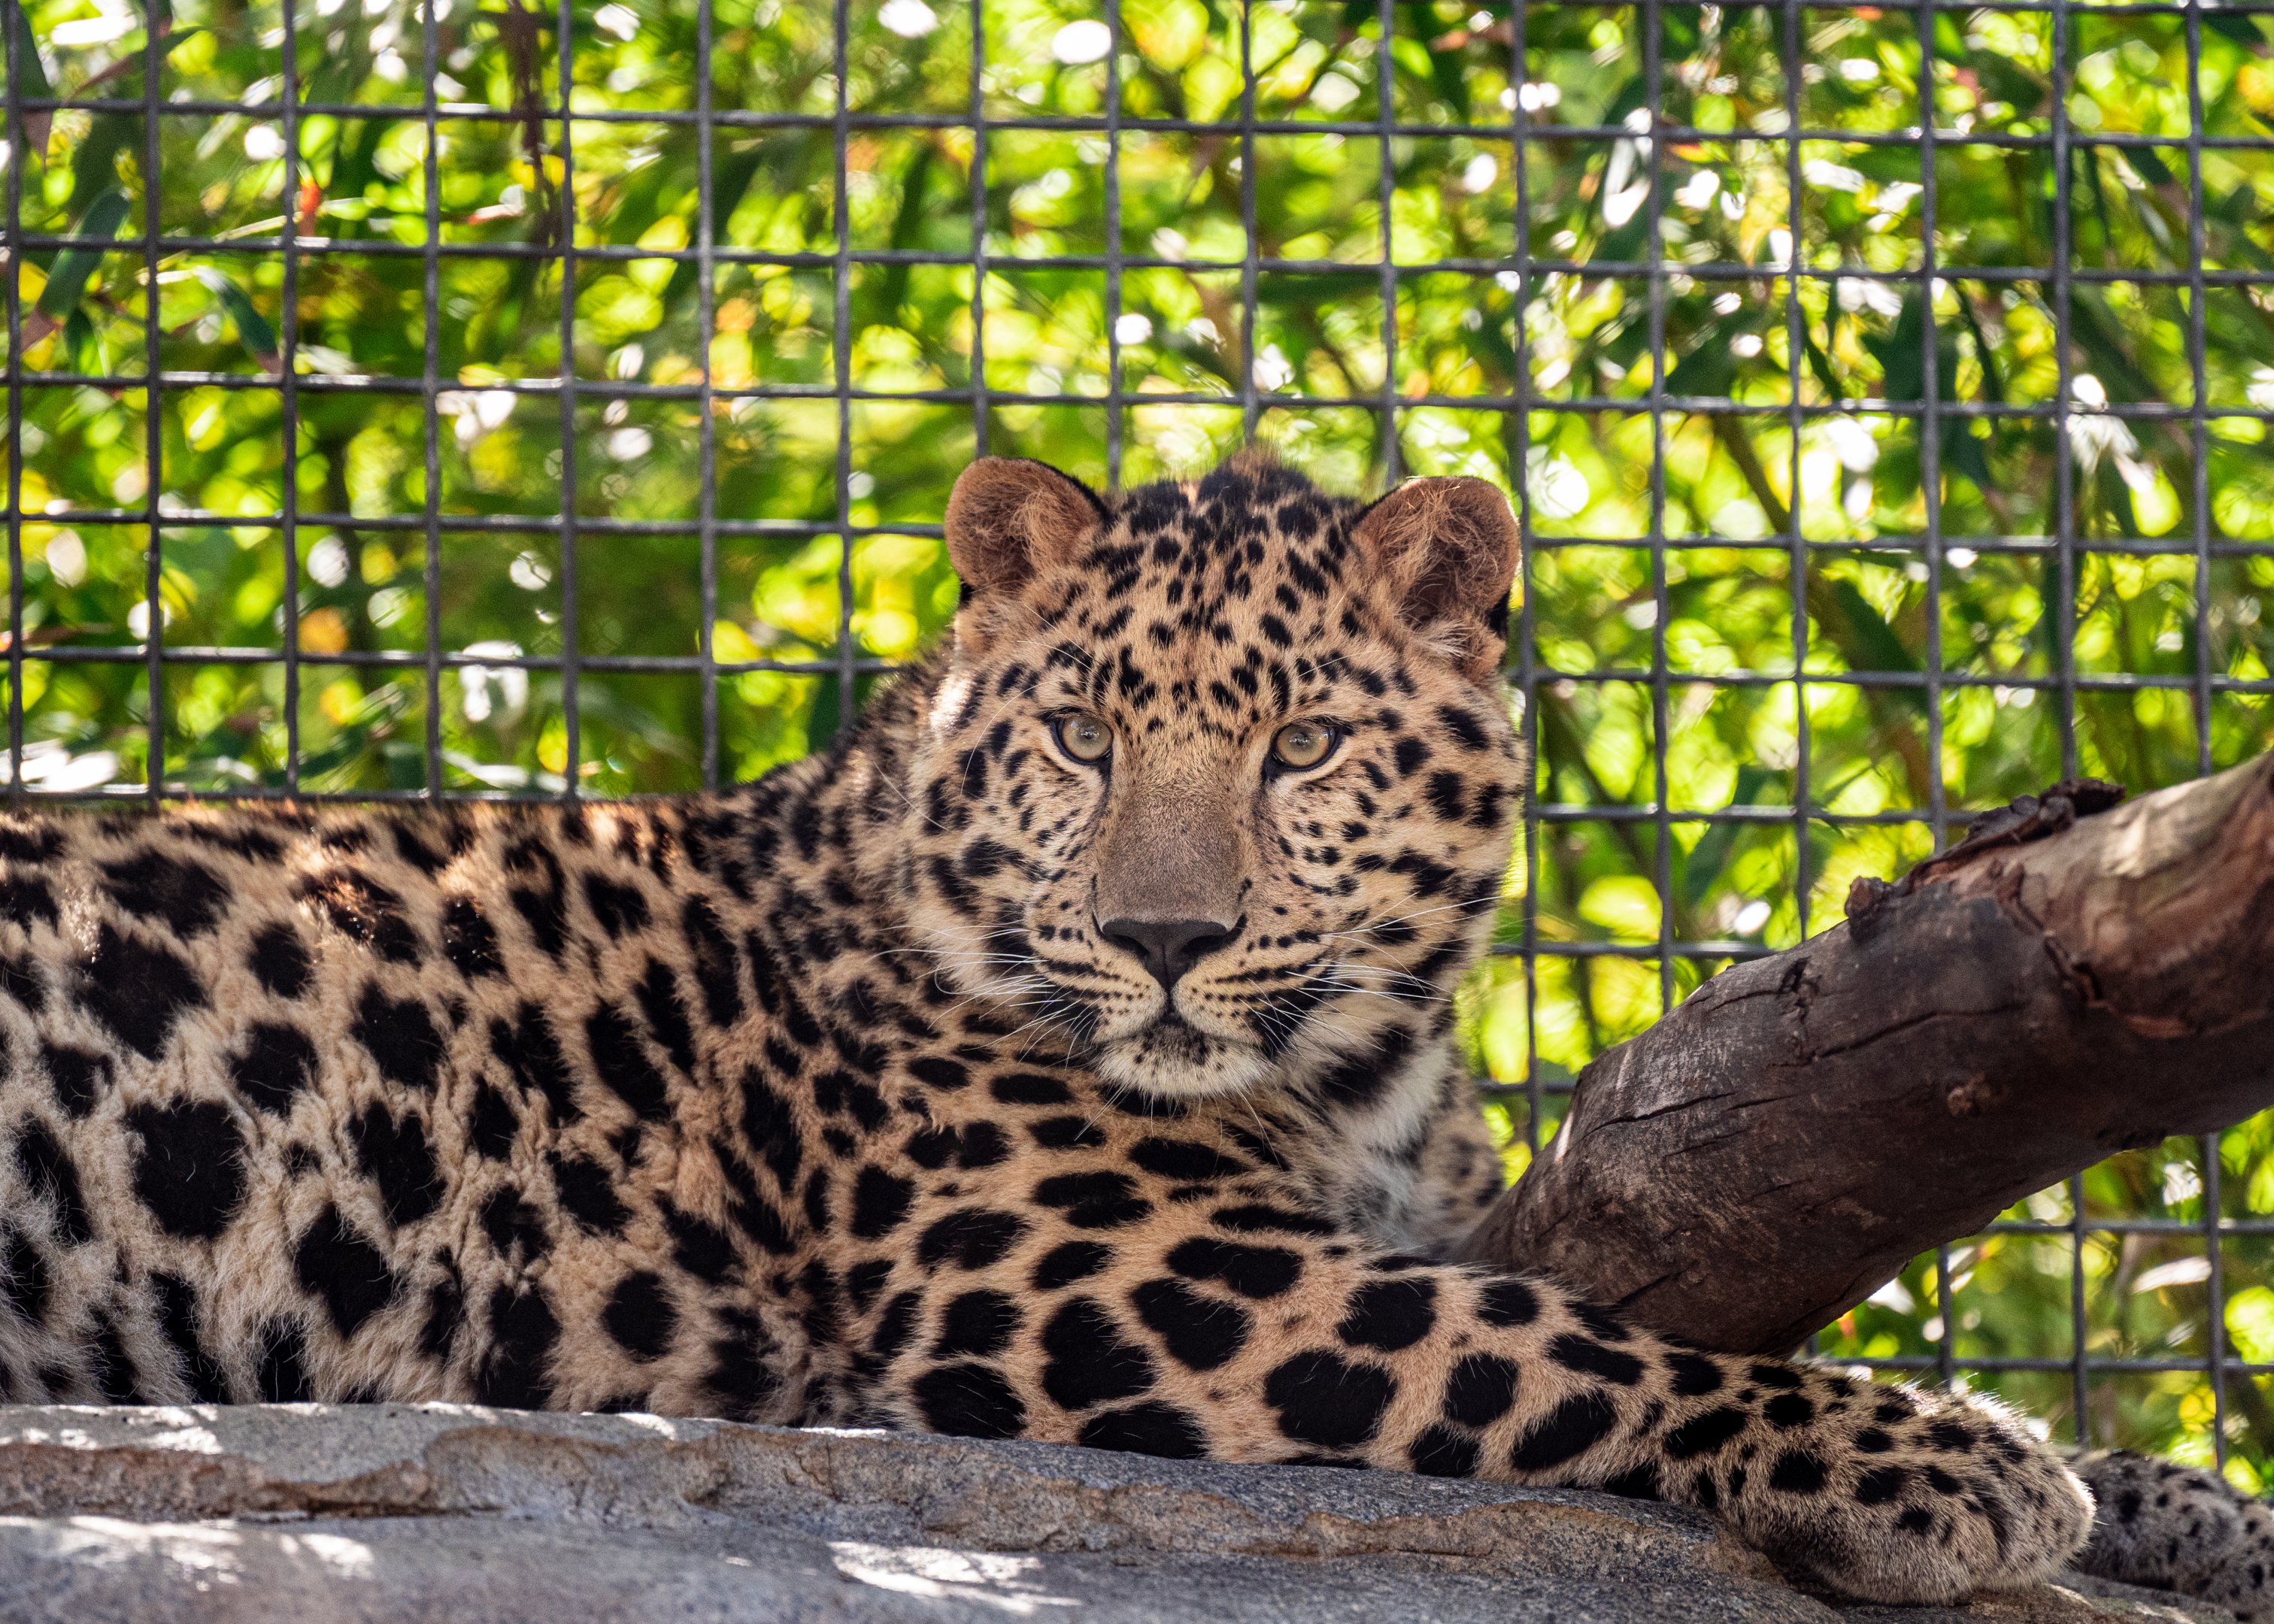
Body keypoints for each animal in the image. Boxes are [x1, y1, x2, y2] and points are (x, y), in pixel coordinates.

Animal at [0, 447, 2238, 1608]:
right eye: (1085, 736)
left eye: (1303, 746)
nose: (1165, 938)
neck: (1355, 1076)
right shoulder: (1093, 1266)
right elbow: (1560, 1345)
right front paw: (1934, 1460)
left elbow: (1583, 1298)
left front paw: (2182, 1498)